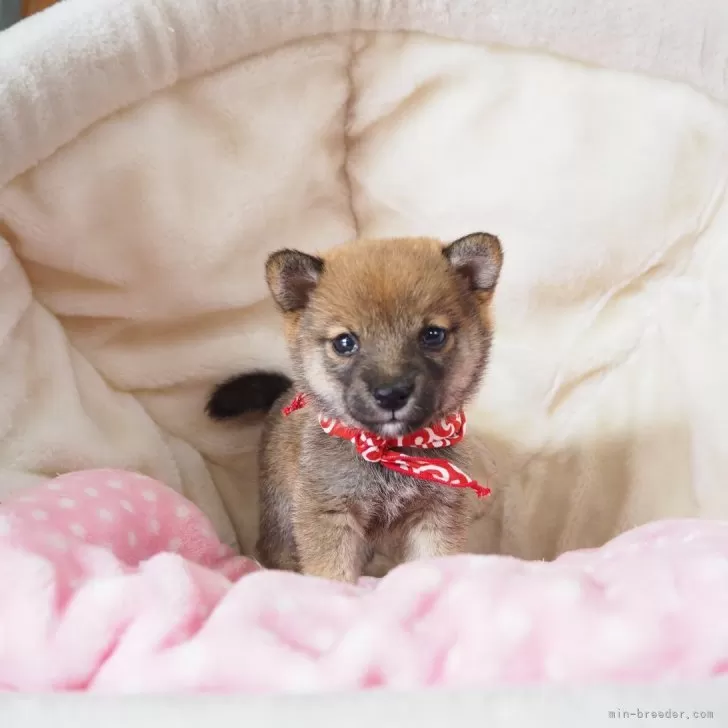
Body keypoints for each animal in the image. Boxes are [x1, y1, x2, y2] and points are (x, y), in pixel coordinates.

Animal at [208, 233, 504, 580]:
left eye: (433, 335)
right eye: (344, 343)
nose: (391, 394)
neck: (388, 453)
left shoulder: (435, 513)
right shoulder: (329, 514)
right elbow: (332, 575)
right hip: (281, 515)